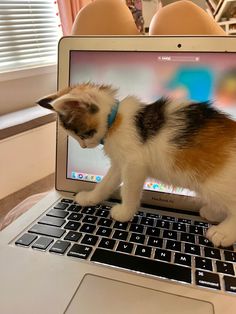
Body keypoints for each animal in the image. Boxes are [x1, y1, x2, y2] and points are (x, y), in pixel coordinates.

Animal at [37, 83, 236, 248]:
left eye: (83, 134)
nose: (84, 146)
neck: (115, 120)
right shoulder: (119, 163)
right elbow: (105, 184)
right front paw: (89, 198)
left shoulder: (134, 164)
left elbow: (128, 190)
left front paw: (124, 213)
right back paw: (213, 212)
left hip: (217, 182)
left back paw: (223, 233)